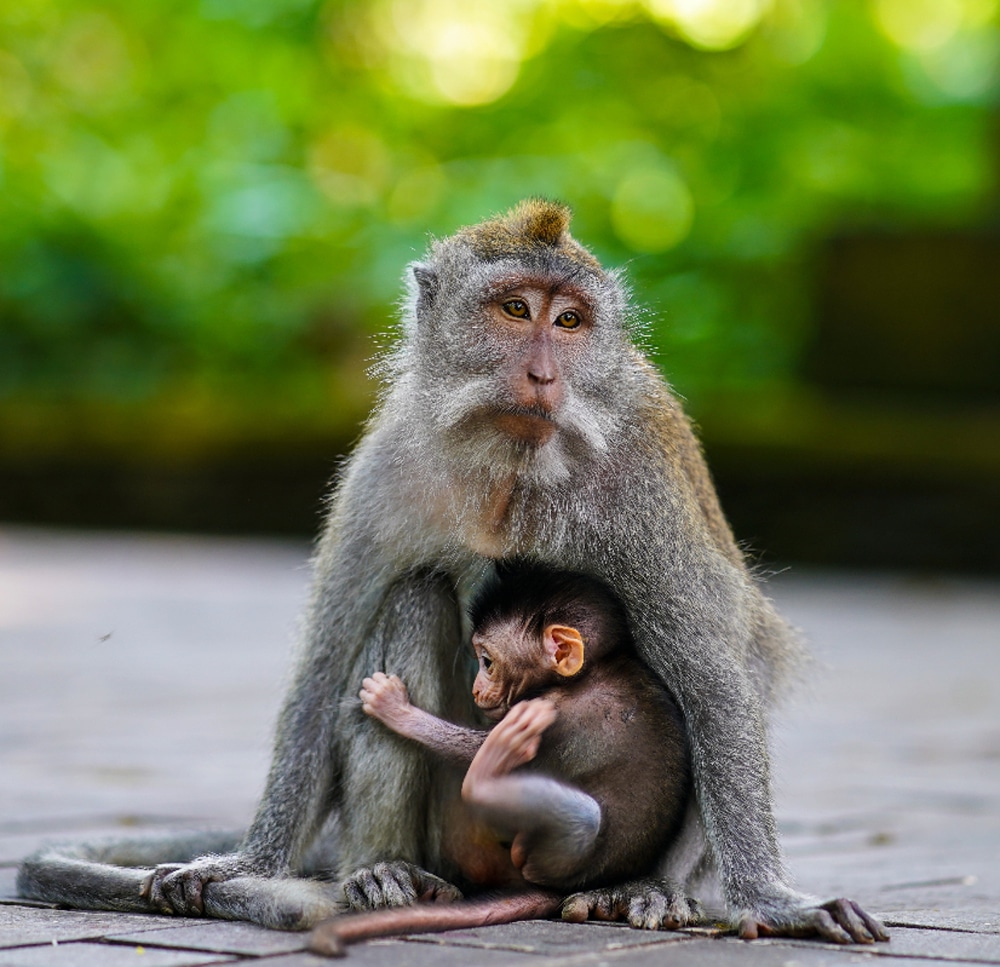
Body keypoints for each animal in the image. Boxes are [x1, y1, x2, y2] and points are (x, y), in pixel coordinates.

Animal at [307, 562, 692, 956]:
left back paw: (487, 776)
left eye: (488, 662)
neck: (591, 672)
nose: (477, 689)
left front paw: (395, 709)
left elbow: (472, 750)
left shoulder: (553, 713)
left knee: (582, 816)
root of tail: (563, 888)